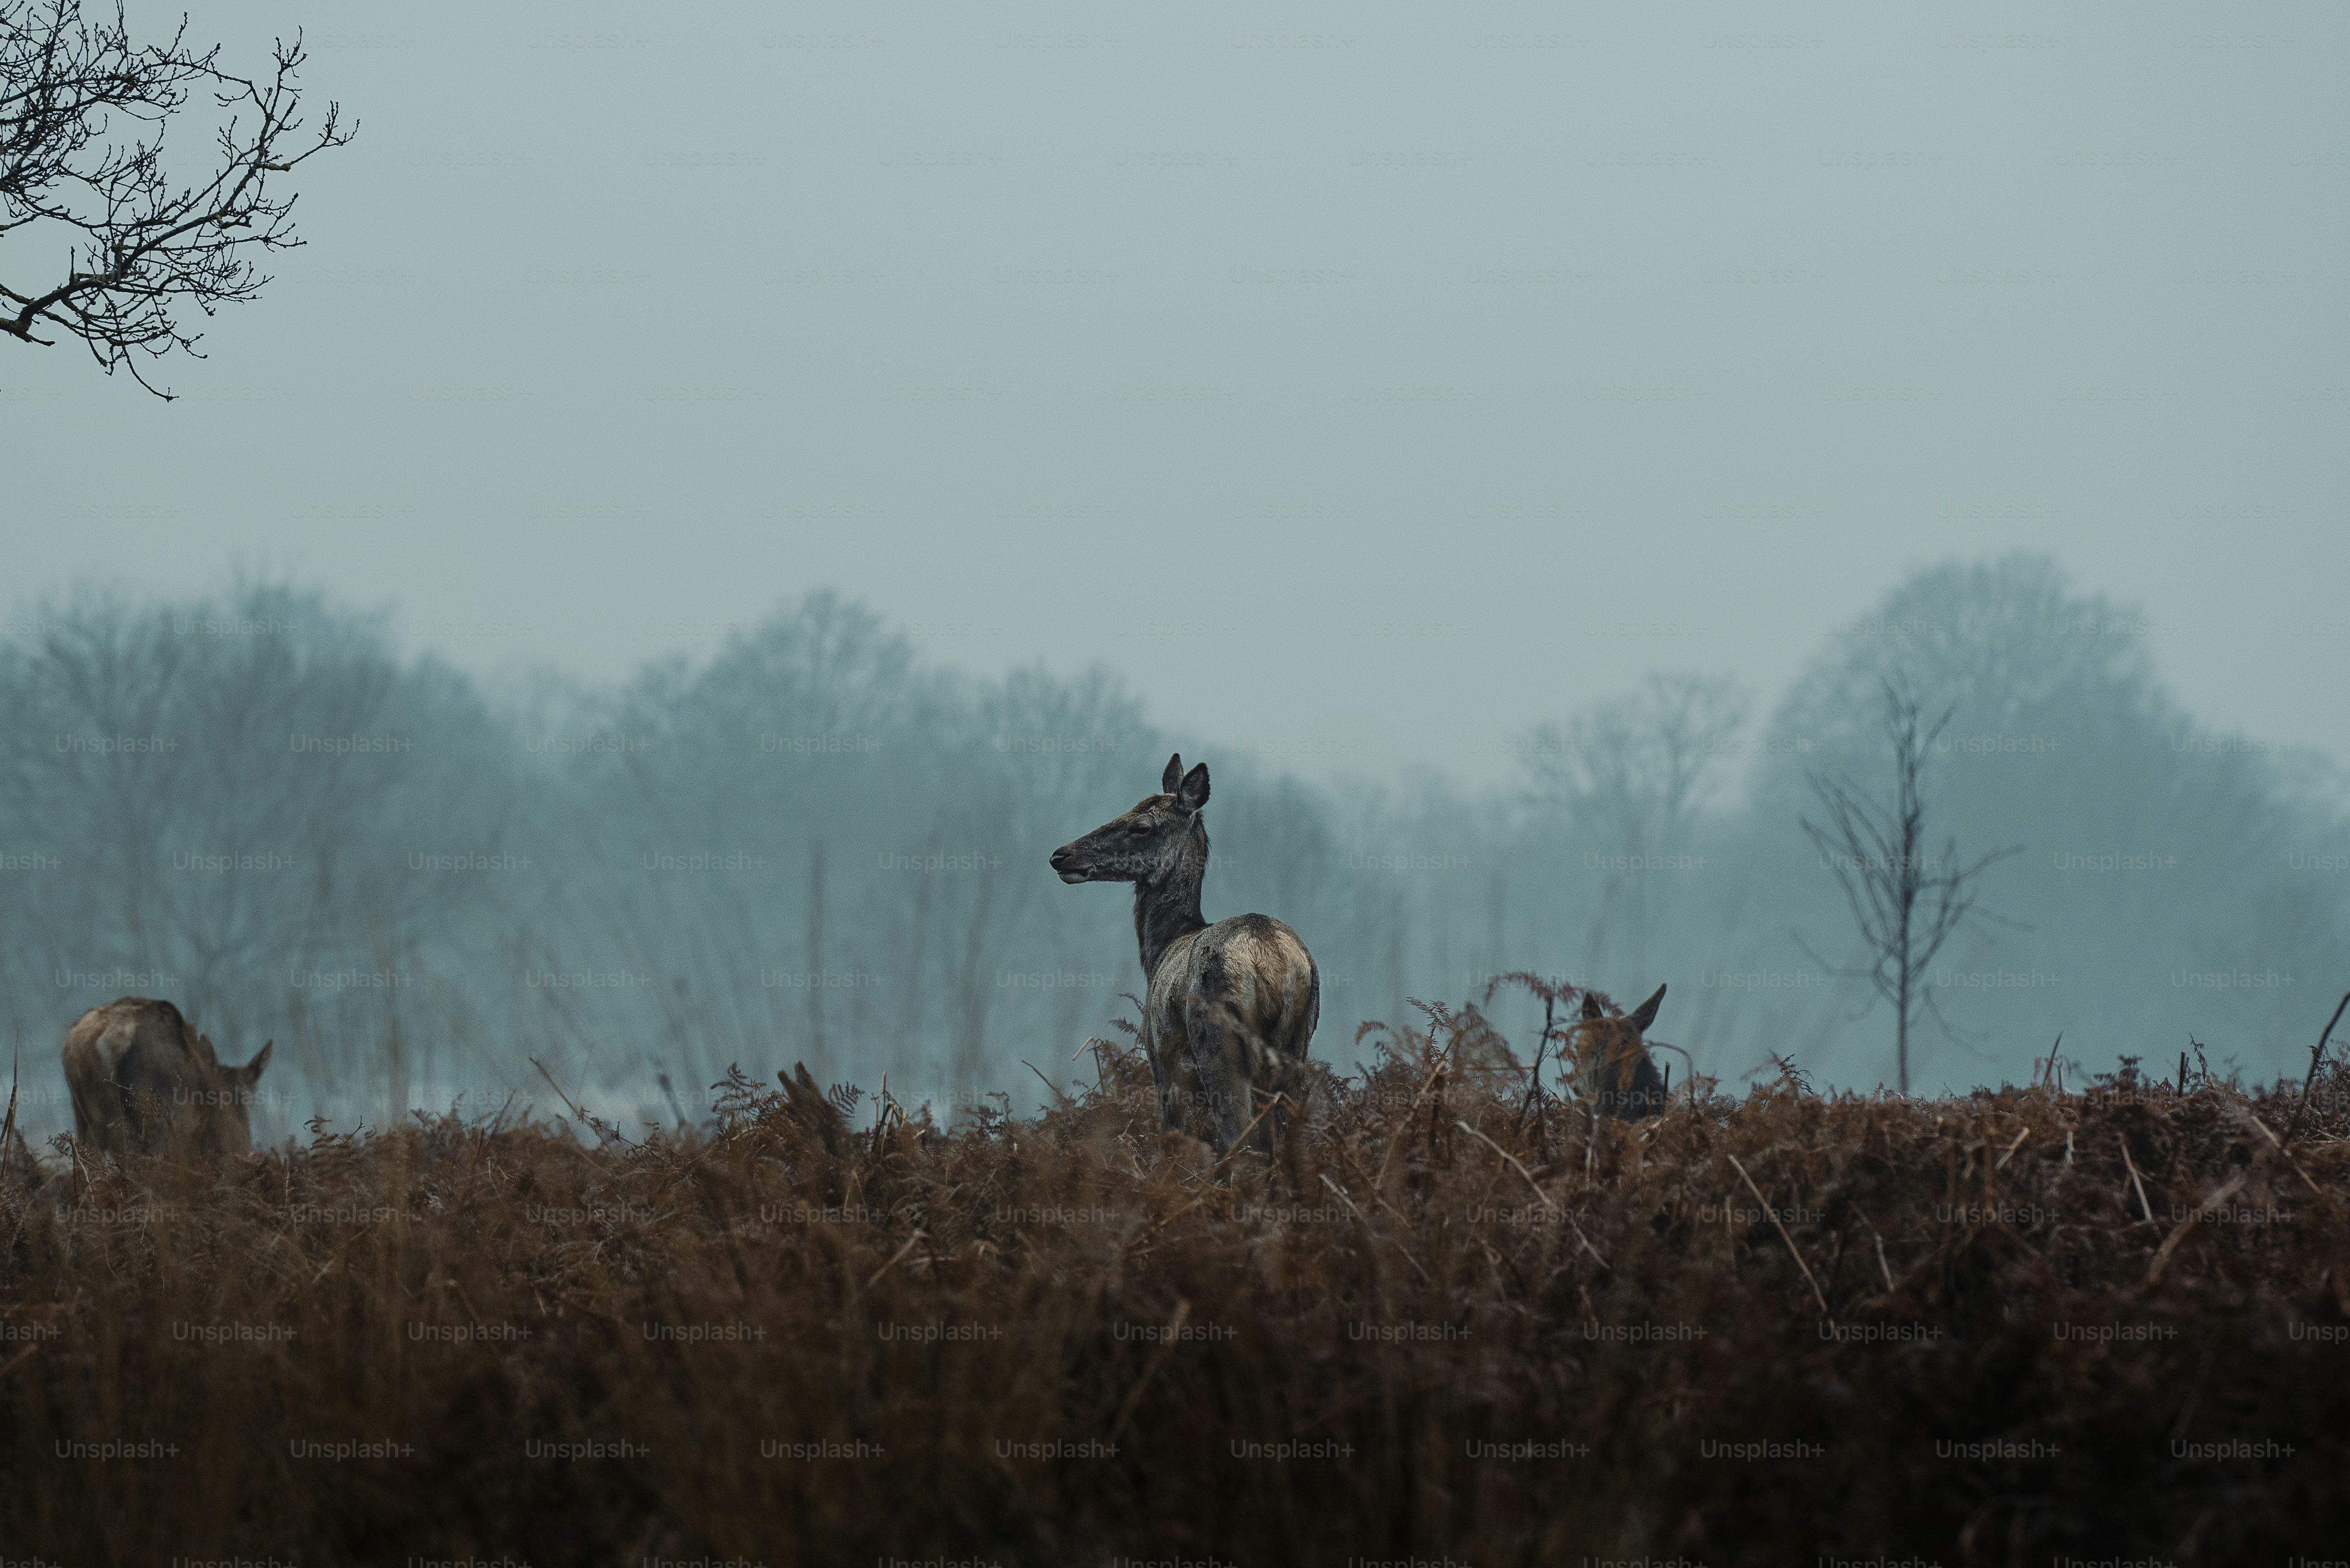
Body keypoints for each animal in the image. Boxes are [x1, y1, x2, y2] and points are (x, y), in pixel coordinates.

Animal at [1051, 754, 1319, 1156]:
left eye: (1141, 827)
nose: (1061, 855)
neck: (1161, 948)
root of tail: (1268, 958)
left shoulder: (1162, 1067)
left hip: (1218, 1047)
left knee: (1242, 1146)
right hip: (1298, 1045)